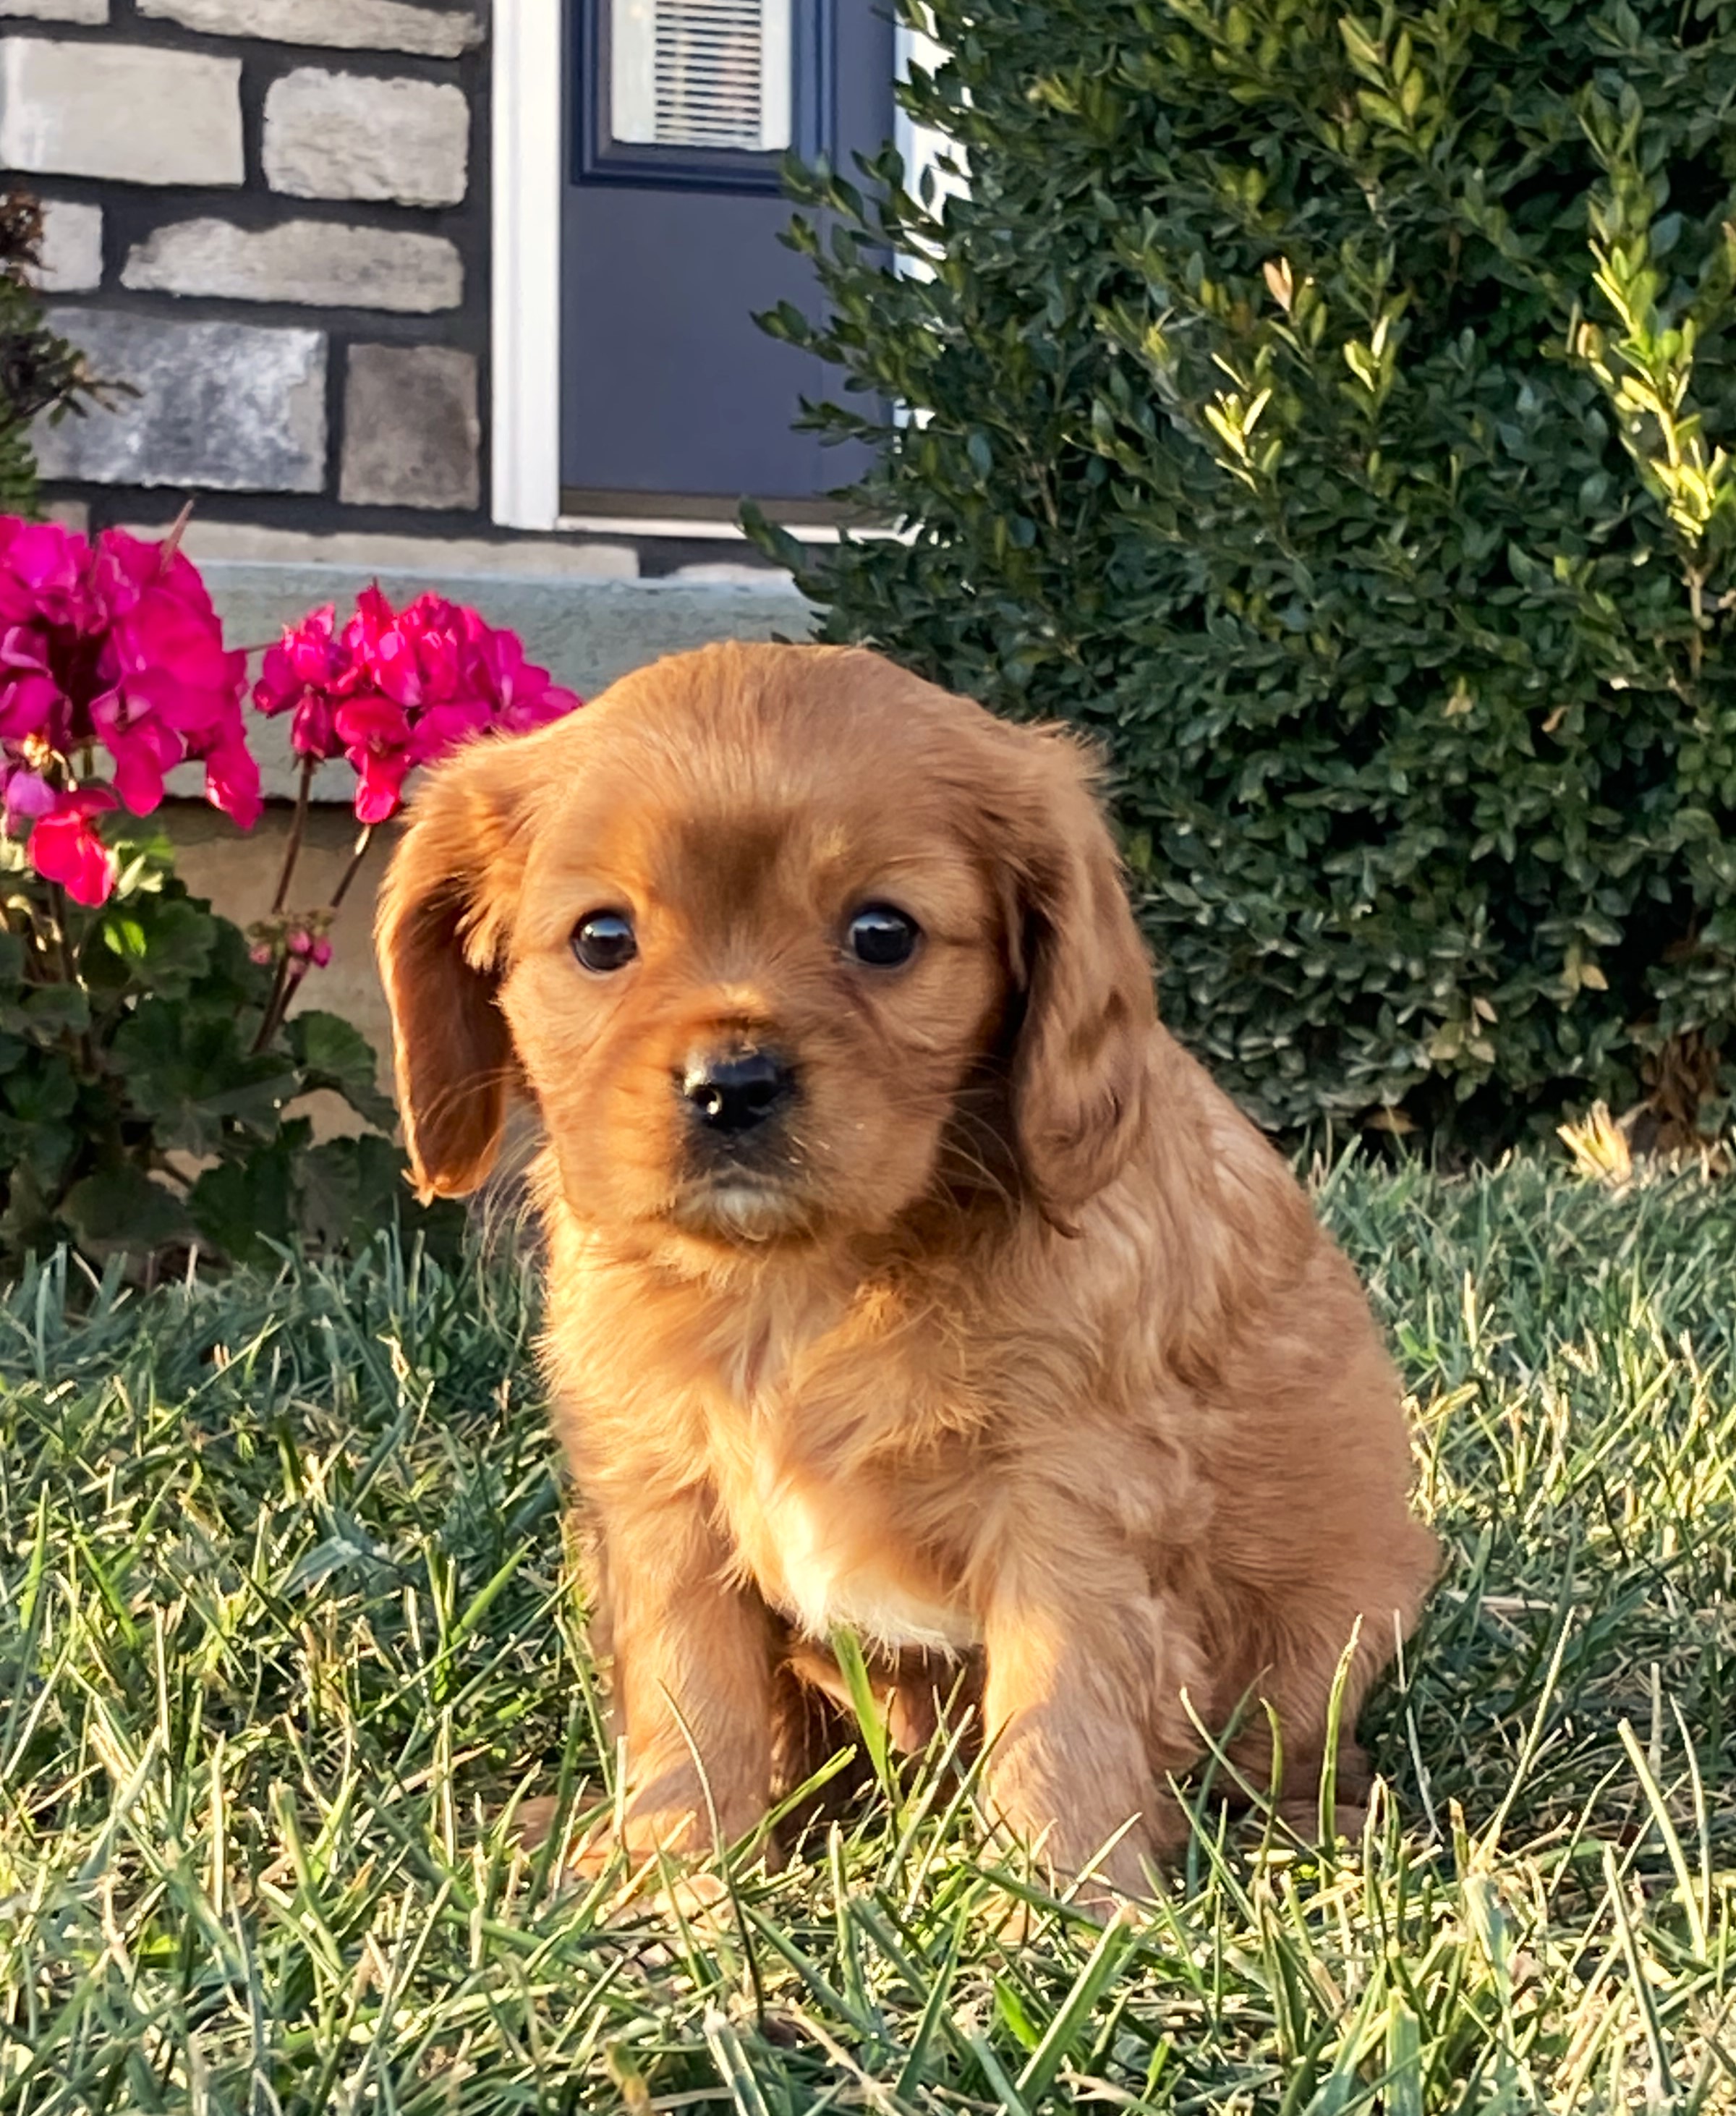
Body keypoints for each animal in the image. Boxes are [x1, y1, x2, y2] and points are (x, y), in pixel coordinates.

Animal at [376, 634, 1437, 1895]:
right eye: (602, 939)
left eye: (883, 933)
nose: (732, 1086)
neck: (797, 1279)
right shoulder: (661, 1496)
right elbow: (691, 1698)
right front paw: (675, 1877)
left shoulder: (1073, 1493)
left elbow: (1061, 1708)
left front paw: (1061, 1899)